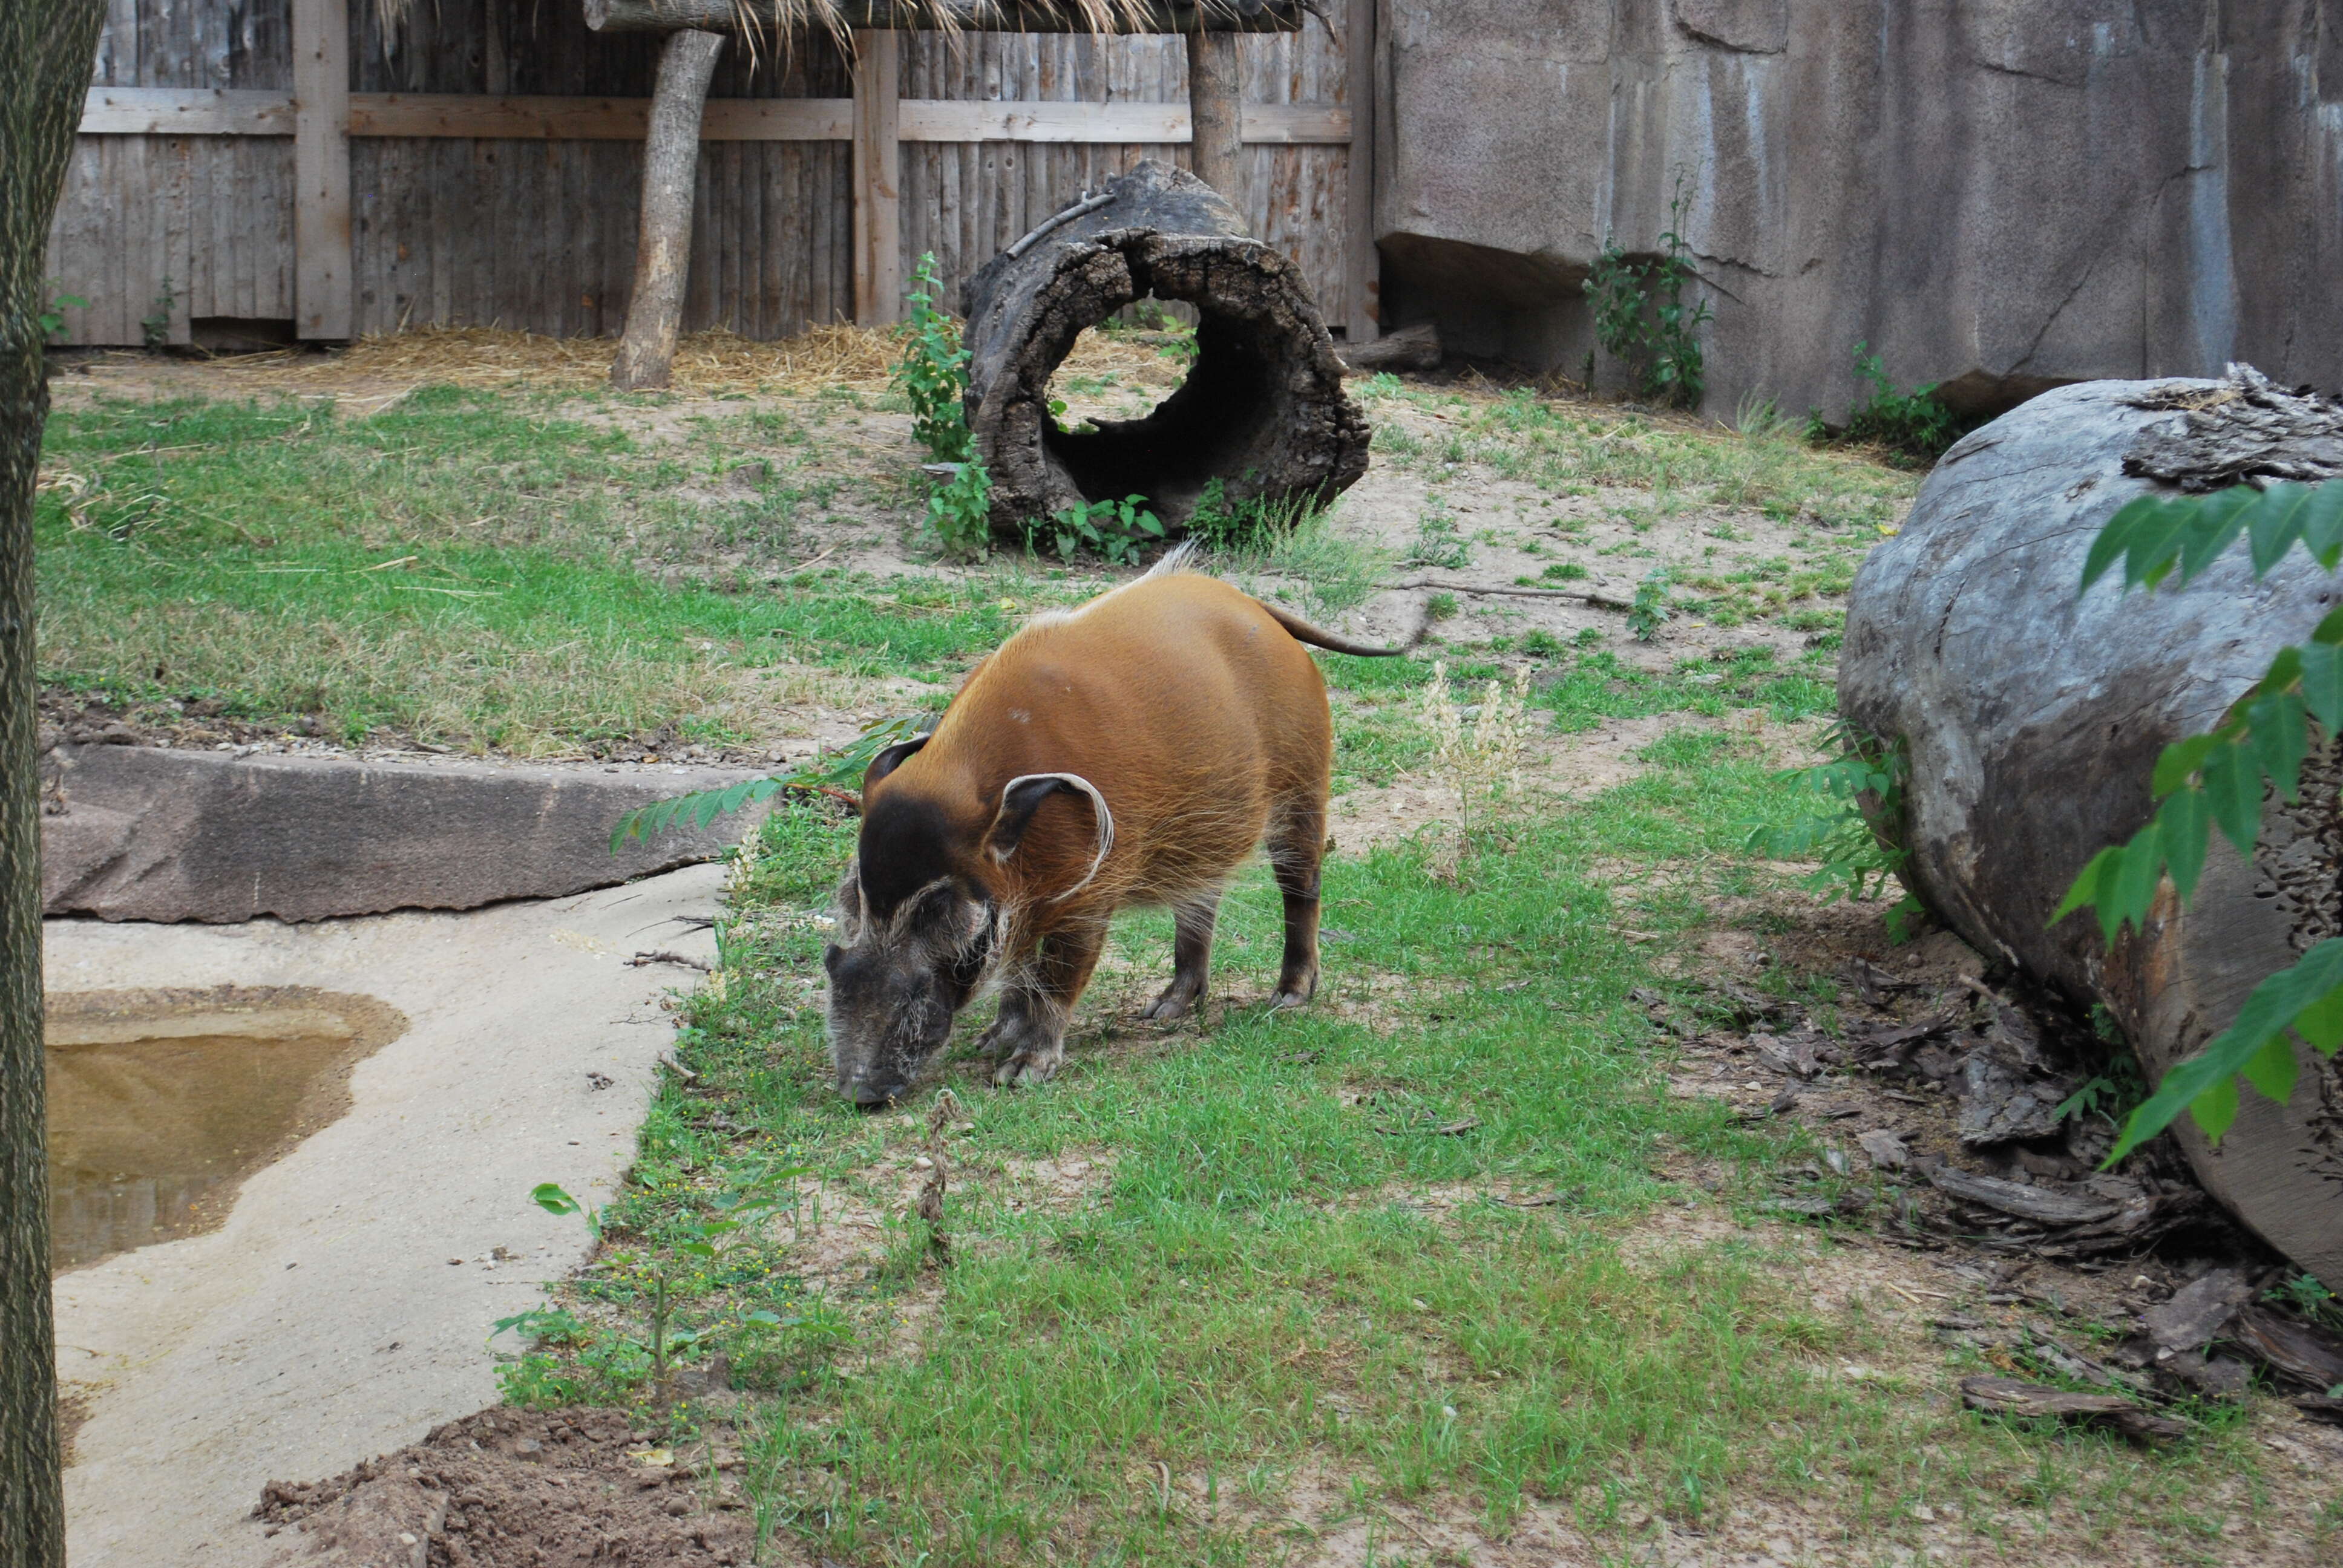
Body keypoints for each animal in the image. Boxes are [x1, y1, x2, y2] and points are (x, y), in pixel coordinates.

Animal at [829, 550, 1387, 1101]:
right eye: (855, 896)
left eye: (936, 908)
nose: (859, 1092)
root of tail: (1254, 605)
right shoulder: (1024, 900)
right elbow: (1018, 967)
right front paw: (993, 1039)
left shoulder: (1089, 899)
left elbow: (1057, 977)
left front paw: (1022, 1069)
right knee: (1199, 906)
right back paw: (1165, 1009)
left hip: (1304, 786)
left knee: (1301, 887)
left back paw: (1289, 995)